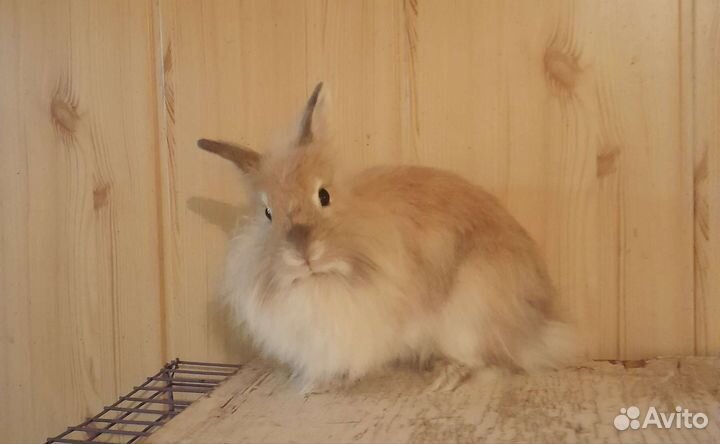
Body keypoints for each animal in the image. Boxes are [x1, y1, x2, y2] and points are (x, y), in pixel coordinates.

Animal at [199, 82, 577, 393]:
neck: (323, 281)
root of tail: (538, 324)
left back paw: (446, 377)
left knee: (489, 360)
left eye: (324, 195)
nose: (304, 254)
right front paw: (314, 383)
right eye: (267, 213)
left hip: (472, 309)